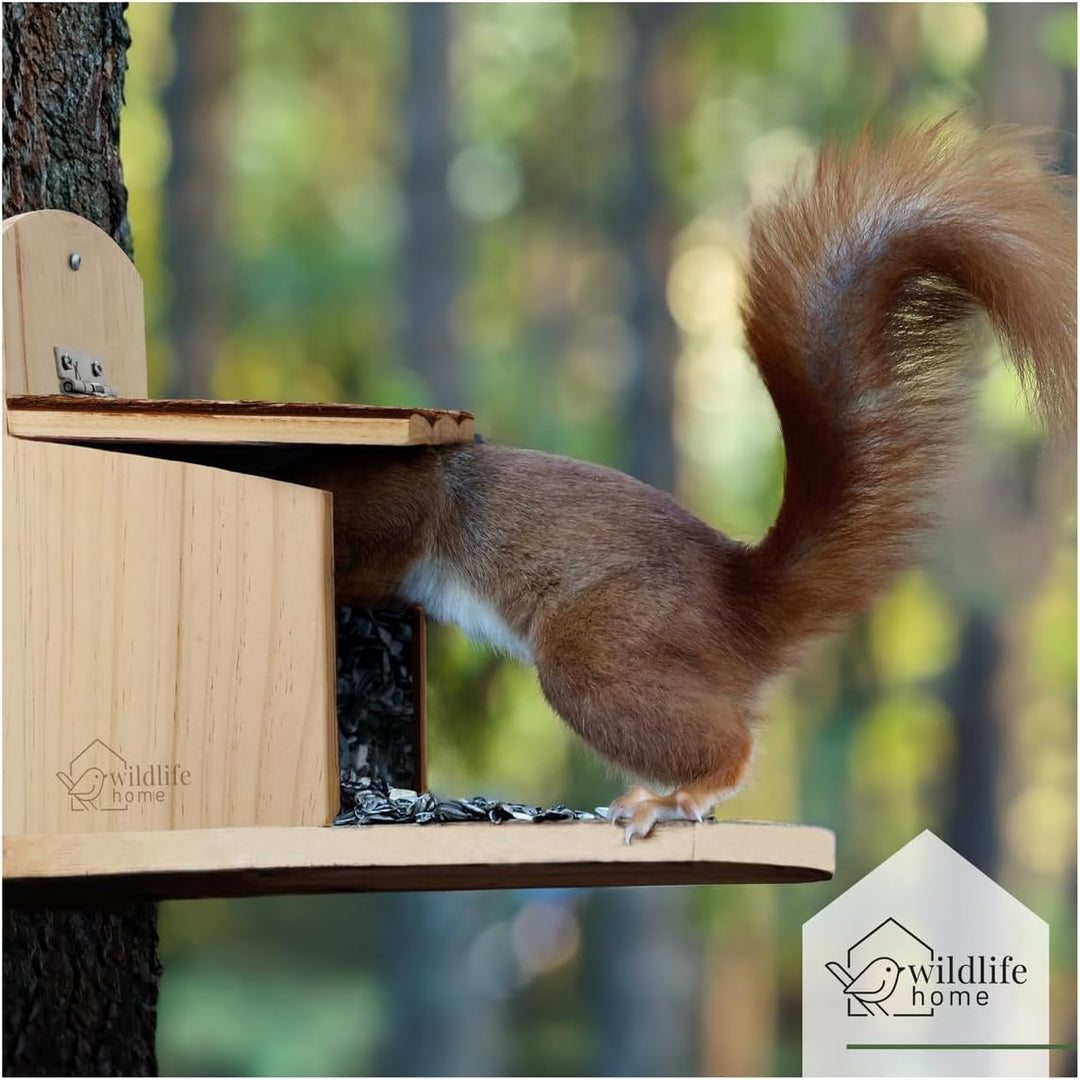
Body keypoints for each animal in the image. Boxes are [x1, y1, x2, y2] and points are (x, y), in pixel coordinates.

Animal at [281, 122, 1076, 840]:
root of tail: (740, 606)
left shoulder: (394, 507)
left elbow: (374, 548)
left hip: (600, 651)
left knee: (728, 745)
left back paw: (671, 799)